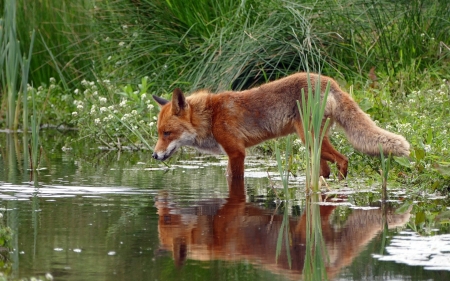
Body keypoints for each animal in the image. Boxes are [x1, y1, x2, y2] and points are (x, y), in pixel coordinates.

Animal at [153, 72, 410, 177]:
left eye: (167, 133)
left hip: (310, 139)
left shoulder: (237, 152)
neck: (212, 116)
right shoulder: (232, 154)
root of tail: (330, 81)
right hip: (314, 144)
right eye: (158, 133)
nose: (154, 156)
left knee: (343, 160)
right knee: (325, 170)